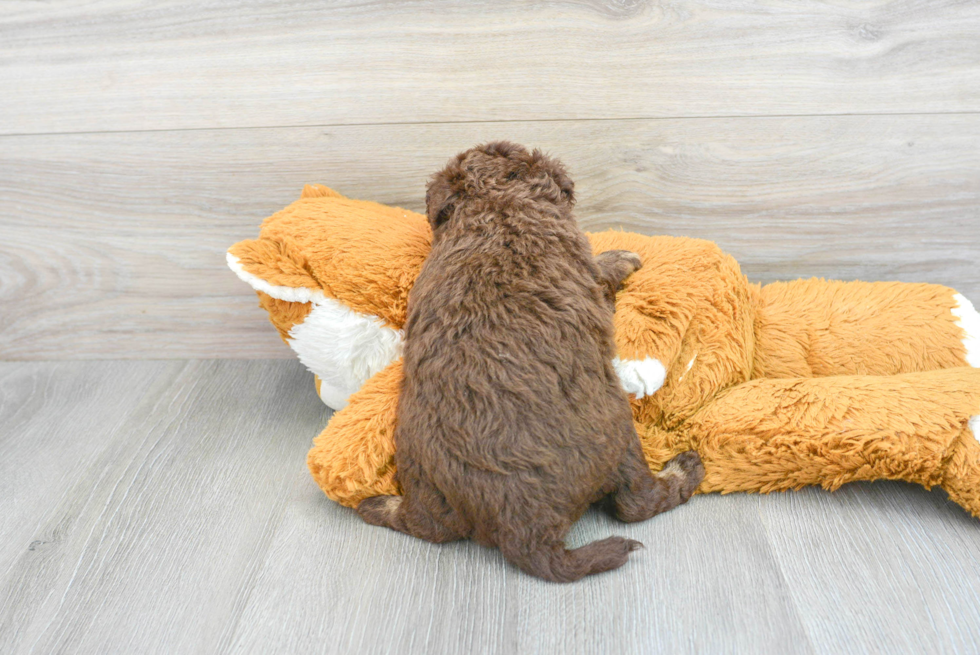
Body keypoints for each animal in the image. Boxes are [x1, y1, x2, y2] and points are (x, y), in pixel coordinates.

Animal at [356, 144, 700, 584]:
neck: (498, 204)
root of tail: (525, 532)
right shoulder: (585, 267)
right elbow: (601, 271)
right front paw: (621, 257)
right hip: (621, 439)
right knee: (636, 503)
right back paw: (685, 470)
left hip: (422, 481)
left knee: (426, 525)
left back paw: (374, 506)